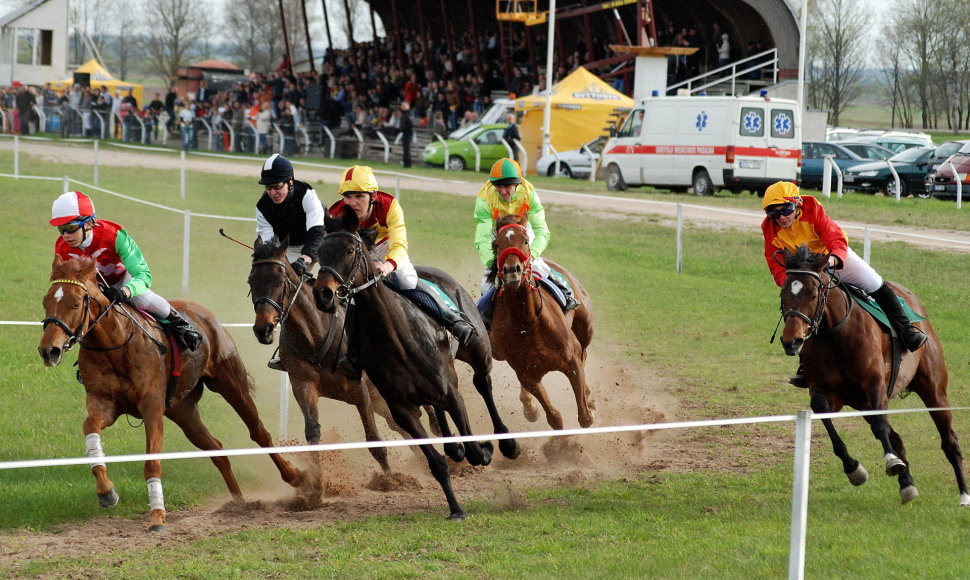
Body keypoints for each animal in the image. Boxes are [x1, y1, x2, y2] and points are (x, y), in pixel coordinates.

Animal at [39, 258, 304, 532]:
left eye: (75, 303)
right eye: (46, 302)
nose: (49, 350)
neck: (115, 345)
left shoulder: (152, 407)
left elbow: (152, 462)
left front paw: (157, 517)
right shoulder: (104, 403)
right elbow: (90, 427)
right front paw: (106, 491)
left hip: (231, 384)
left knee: (259, 432)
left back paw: (293, 476)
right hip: (183, 411)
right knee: (216, 448)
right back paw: (239, 503)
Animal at [314, 210, 520, 520]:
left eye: (349, 250)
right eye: (320, 252)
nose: (323, 295)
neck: (397, 338)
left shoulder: (451, 392)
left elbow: (474, 448)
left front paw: (484, 450)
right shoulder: (402, 410)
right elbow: (437, 463)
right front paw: (455, 508)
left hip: (478, 351)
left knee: (483, 383)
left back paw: (506, 441)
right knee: (439, 409)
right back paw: (454, 447)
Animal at [492, 213, 596, 430]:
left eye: (525, 240)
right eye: (497, 245)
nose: (512, 270)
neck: (527, 322)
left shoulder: (571, 360)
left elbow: (585, 417)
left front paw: (588, 404)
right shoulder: (527, 374)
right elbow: (554, 417)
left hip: (585, 328)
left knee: (584, 352)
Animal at [780, 246, 968, 508]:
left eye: (813, 295)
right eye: (783, 294)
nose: (792, 341)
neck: (835, 335)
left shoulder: (875, 384)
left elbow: (880, 426)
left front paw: (891, 461)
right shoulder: (828, 391)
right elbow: (823, 413)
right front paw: (854, 469)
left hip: (933, 390)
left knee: (949, 440)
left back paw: (964, 495)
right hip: (862, 403)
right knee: (896, 437)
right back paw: (907, 485)